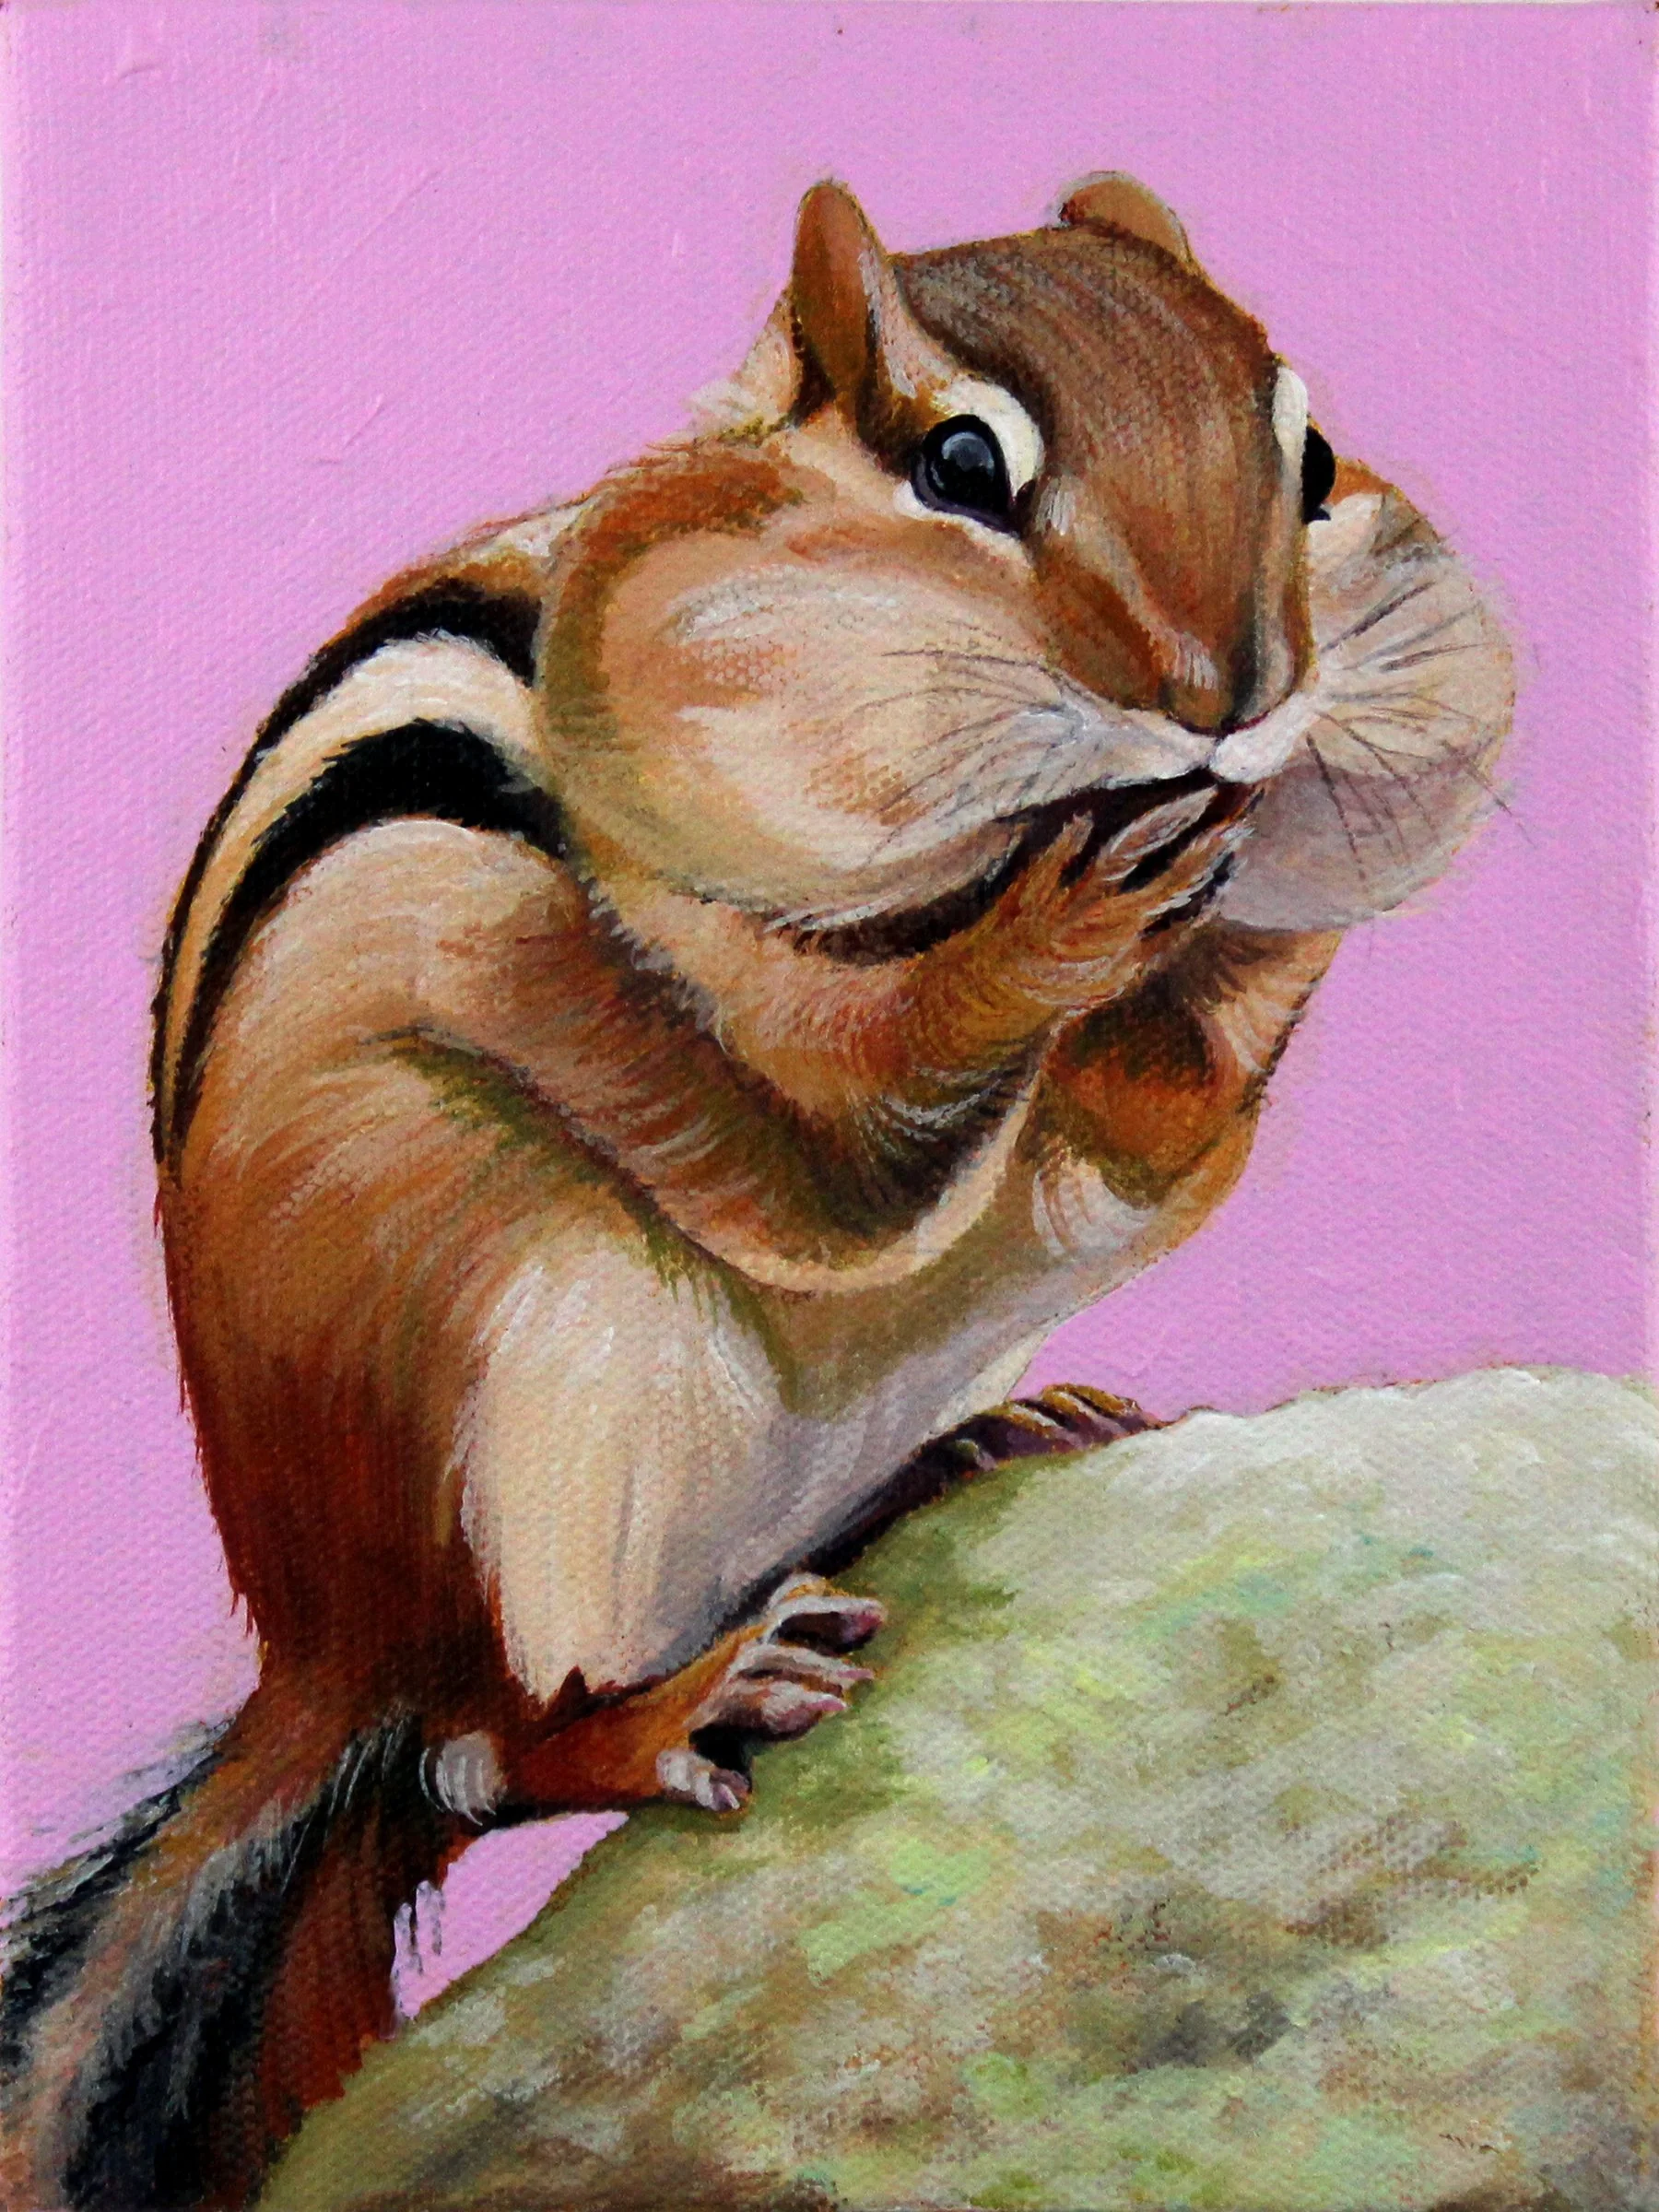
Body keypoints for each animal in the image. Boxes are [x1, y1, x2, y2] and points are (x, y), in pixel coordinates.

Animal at [1, 173, 1511, 2211]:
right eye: (963, 466)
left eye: (1318, 461)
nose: (1233, 697)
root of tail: (311, 1650)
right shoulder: (650, 970)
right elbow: (839, 1131)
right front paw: (1058, 928)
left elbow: (1144, 1136)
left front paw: (1242, 920)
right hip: (534, 1392)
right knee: (476, 1747)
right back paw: (664, 1709)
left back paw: (964, 1451)